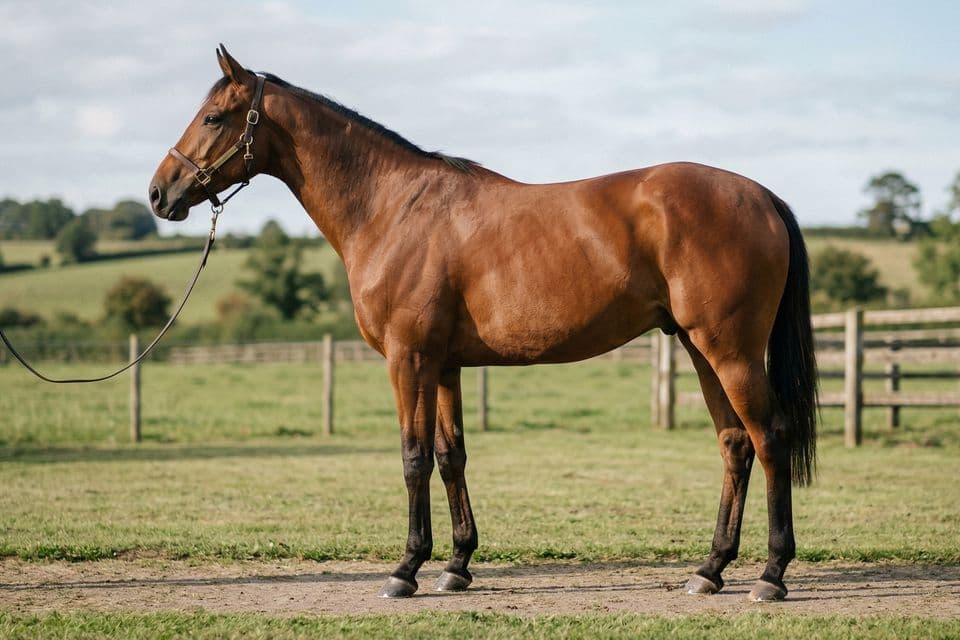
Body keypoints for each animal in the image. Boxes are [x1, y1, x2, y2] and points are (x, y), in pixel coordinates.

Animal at [149, 45, 817, 602]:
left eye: (213, 119)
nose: (159, 193)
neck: (393, 209)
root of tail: (761, 196)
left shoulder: (408, 359)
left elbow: (412, 456)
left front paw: (406, 569)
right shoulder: (443, 365)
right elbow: (451, 456)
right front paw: (456, 566)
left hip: (730, 351)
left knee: (770, 438)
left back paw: (770, 576)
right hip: (702, 350)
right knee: (734, 444)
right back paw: (710, 570)